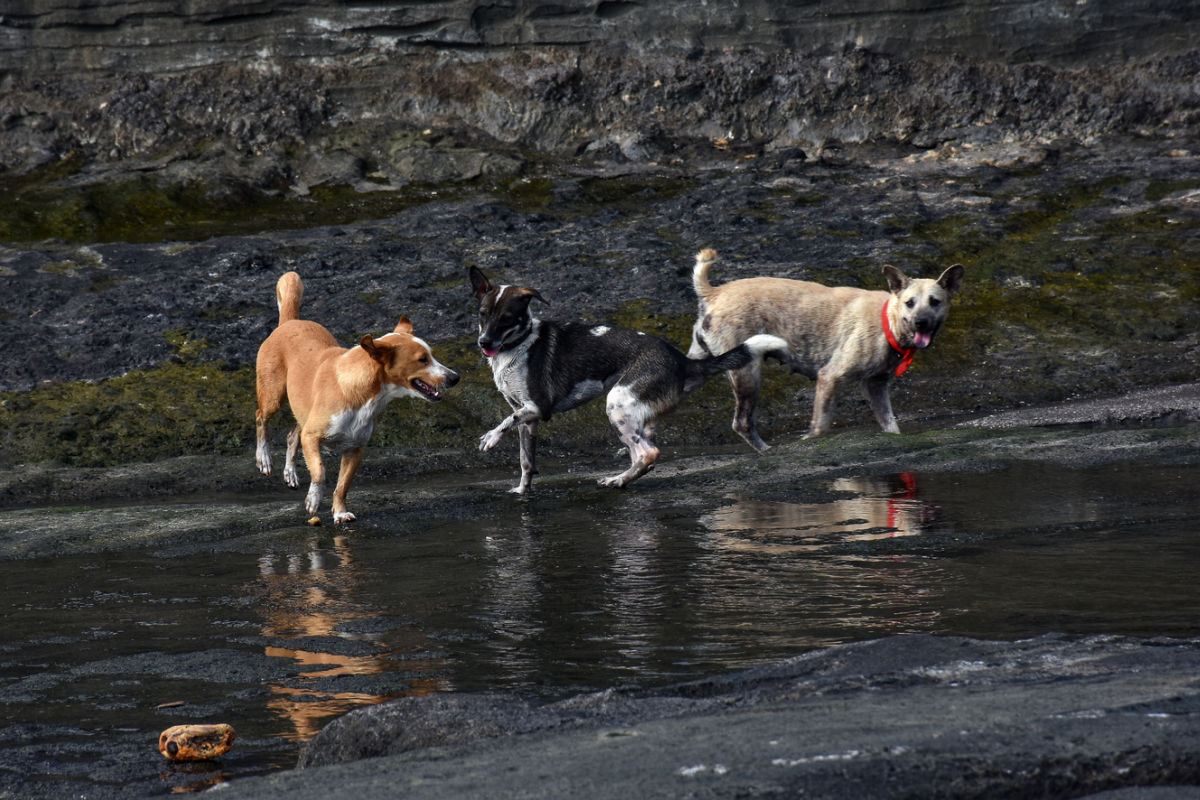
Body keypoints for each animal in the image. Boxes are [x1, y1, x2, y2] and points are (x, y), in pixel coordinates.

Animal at [255, 273, 456, 525]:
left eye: (432, 356)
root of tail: (289, 322)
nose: (455, 377)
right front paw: (313, 500)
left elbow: (343, 485)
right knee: (261, 419)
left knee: (292, 435)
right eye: (422, 360)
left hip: (302, 410)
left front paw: (340, 512)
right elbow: (320, 471)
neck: (363, 393)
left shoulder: (356, 449)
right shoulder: (312, 437)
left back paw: (290, 473)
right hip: (273, 396)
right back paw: (264, 458)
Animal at [470, 268, 796, 491]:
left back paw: (617, 480)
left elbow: (506, 421)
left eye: (507, 318)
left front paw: (490, 438)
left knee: (649, 453)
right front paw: (522, 490)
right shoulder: (529, 419)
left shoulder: (538, 408)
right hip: (637, 415)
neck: (518, 345)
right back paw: (623, 478)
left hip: (618, 403)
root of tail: (681, 361)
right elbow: (526, 460)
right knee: (643, 455)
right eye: (483, 314)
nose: (484, 343)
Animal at [691, 250, 960, 450]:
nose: (920, 323)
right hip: (747, 371)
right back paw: (767, 450)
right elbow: (820, 426)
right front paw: (809, 440)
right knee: (743, 423)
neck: (888, 321)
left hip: (702, 364)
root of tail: (714, 292)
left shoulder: (876, 385)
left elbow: (891, 426)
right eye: (909, 303)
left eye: (935, 302)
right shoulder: (829, 376)